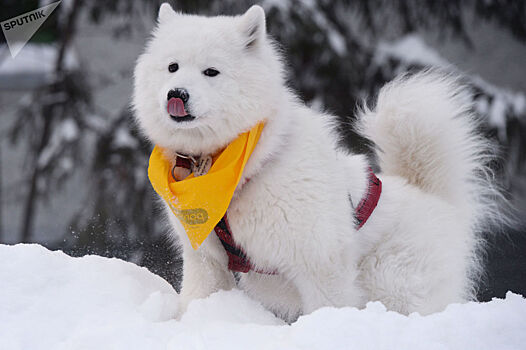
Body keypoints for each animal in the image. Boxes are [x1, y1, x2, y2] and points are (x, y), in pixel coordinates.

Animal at [133, 3, 504, 322]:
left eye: (211, 72)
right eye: (172, 67)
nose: (176, 94)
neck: (237, 165)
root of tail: (435, 197)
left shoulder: (319, 257)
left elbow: (329, 304)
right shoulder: (205, 257)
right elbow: (199, 297)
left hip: (392, 283)